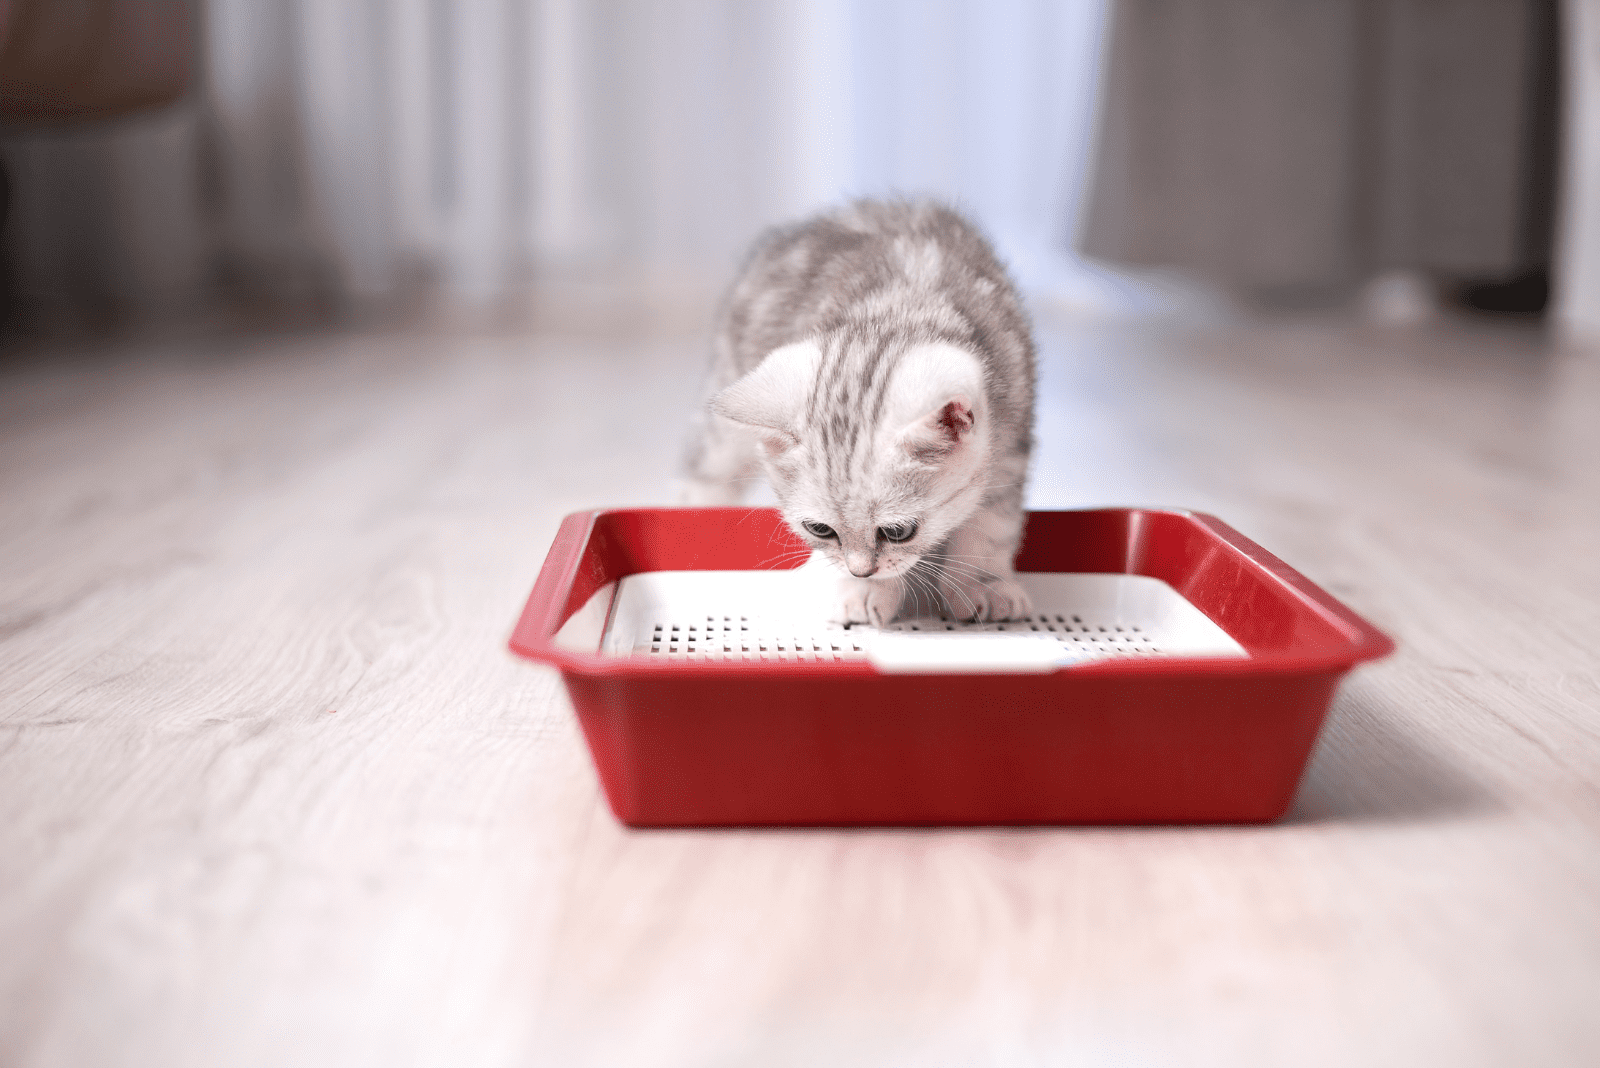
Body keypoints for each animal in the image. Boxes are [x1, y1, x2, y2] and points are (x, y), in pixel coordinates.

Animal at [684, 199, 1036, 626]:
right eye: (819, 529)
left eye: (899, 532)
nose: (860, 570)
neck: (900, 310)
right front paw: (863, 592)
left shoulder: (1011, 436)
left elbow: (992, 522)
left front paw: (985, 583)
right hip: (728, 396)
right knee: (704, 470)